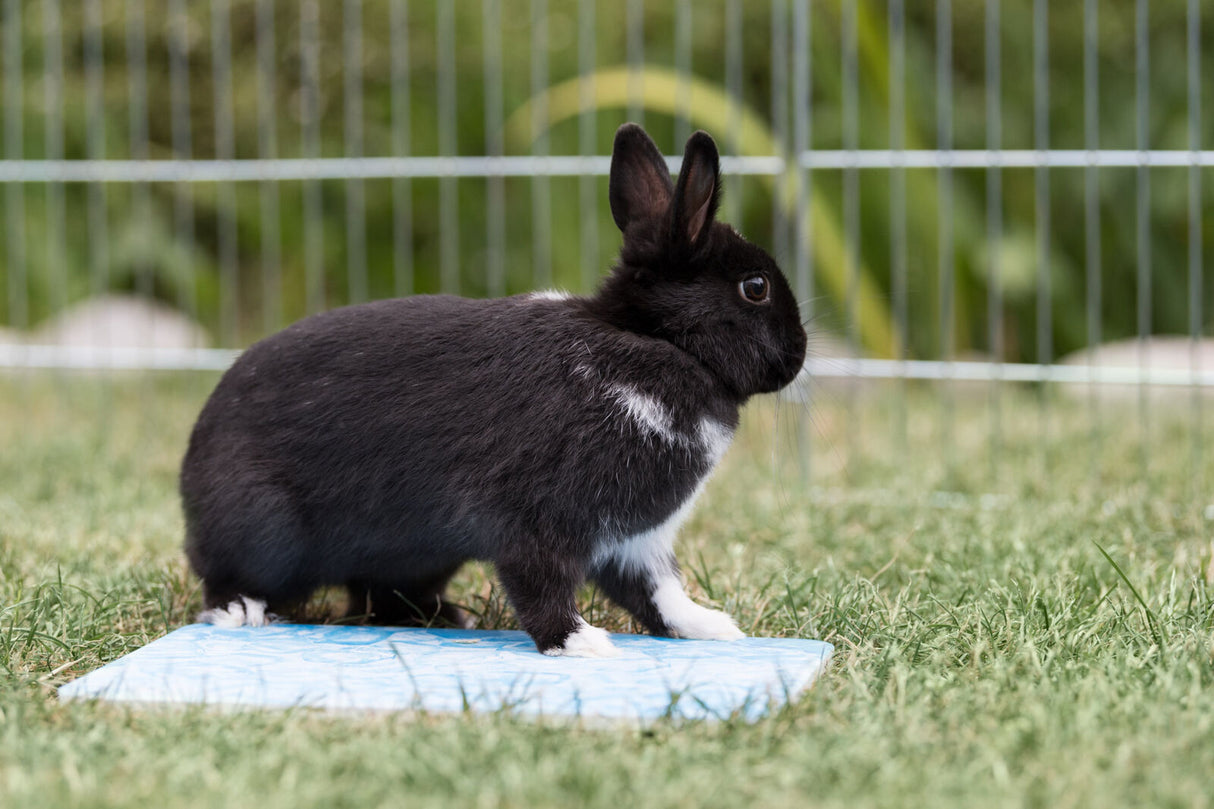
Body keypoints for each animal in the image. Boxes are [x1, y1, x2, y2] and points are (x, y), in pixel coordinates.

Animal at [180, 123, 807, 657]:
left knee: (376, 596)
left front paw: (712, 628)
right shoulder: (536, 522)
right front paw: (581, 644)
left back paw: (447, 618)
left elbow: (660, 593)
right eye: (755, 288)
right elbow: (542, 584)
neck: (654, 341)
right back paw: (242, 611)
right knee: (227, 580)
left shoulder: (637, 541)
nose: (799, 354)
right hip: (263, 528)